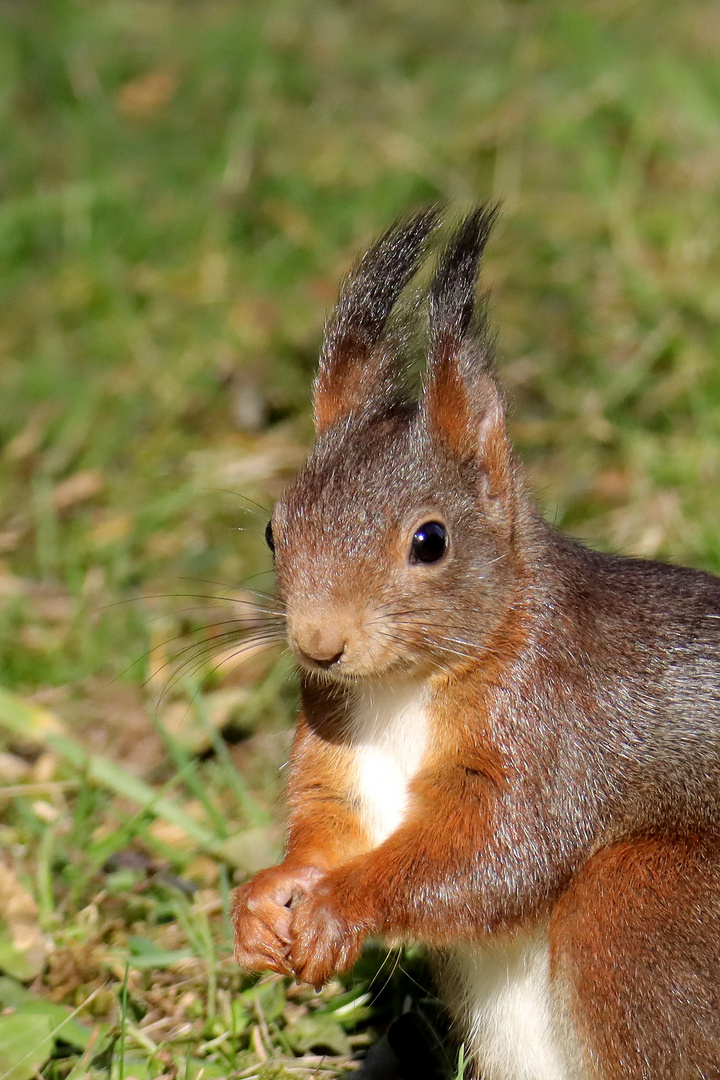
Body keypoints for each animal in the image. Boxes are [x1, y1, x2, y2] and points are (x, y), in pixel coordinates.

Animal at [231, 204, 720, 1080]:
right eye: (273, 530)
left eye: (431, 541)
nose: (319, 644)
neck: (405, 687)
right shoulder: (340, 738)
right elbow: (336, 822)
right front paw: (269, 894)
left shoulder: (553, 728)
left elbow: (497, 853)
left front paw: (340, 906)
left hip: (646, 906)